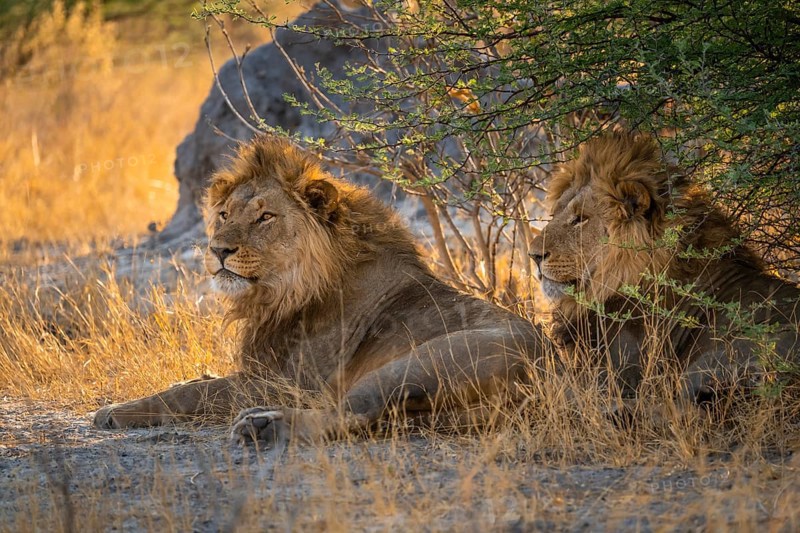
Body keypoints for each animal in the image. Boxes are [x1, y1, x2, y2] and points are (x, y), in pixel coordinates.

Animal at [94, 136, 547, 446]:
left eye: (265, 217)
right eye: (223, 214)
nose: (218, 249)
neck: (282, 292)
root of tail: (552, 374)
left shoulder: (285, 382)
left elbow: (195, 391)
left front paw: (115, 411)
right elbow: (193, 381)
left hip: (414, 364)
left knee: (350, 412)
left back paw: (263, 426)